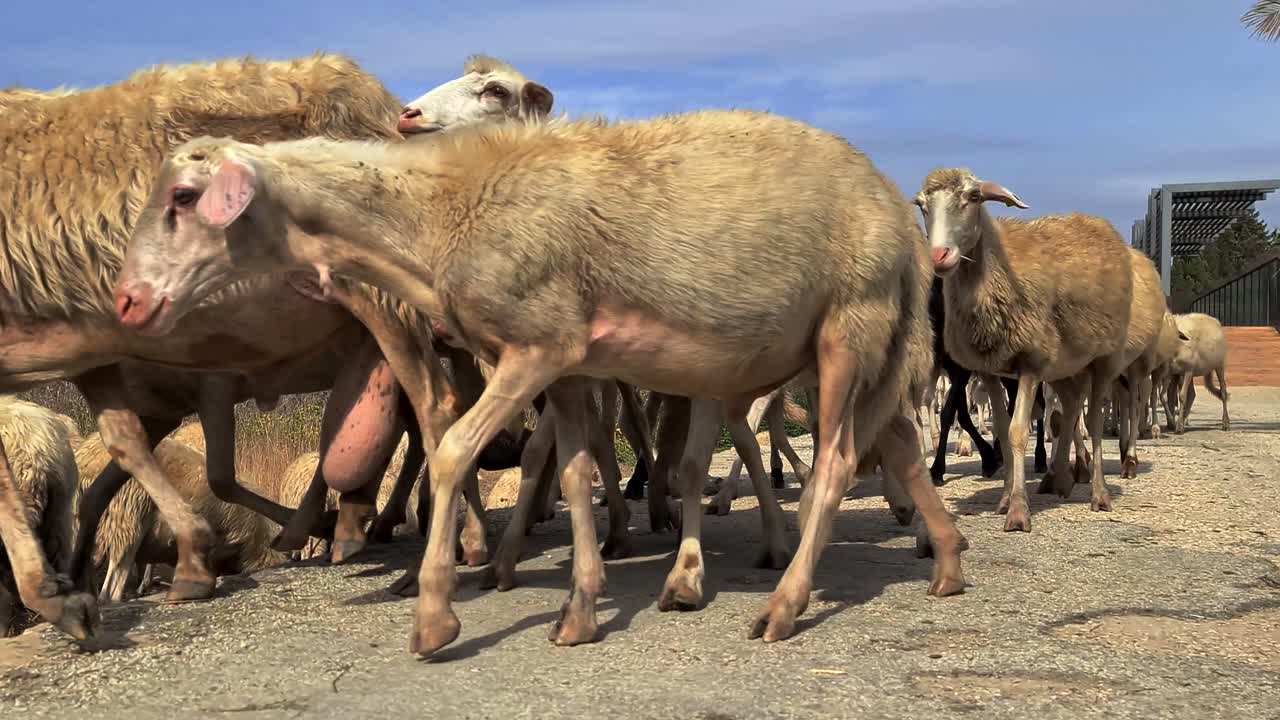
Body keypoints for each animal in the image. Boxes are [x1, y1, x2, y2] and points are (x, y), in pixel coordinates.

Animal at [113, 108, 968, 657]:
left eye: (183, 198)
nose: (127, 302)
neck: (435, 218)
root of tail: (897, 217)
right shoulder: (569, 362)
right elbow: (580, 472)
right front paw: (580, 610)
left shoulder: (536, 343)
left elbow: (453, 452)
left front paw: (435, 617)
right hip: (850, 344)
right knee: (898, 445)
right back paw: (949, 562)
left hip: (849, 325)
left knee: (835, 463)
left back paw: (787, 605)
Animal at [916, 168, 1134, 532]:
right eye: (921, 205)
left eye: (974, 197)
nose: (938, 256)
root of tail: (1098, 223)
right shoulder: (990, 369)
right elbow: (1002, 429)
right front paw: (1005, 496)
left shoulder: (1030, 363)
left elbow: (1018, 430)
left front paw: (1018, 510)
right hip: (1065, 365)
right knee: (1068, 410)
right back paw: (1061, 479)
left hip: (1103, 359)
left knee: (1091, 420)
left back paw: (1099, 492)